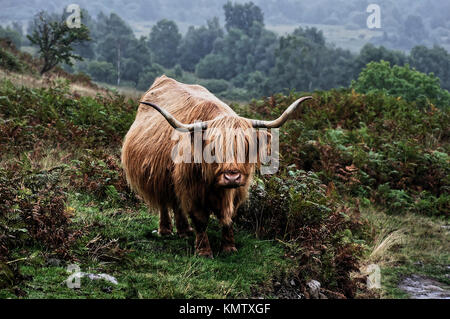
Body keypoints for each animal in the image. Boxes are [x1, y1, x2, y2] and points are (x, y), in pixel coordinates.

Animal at [121, 76, 312, 258]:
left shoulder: (237, 191)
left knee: (177, 203)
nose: (232, 177)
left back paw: (184, 231)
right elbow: (200, 219)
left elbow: (229, 218)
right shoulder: (192, 188)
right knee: (164, 201)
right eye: (213, 149)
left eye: (246, 146)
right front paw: (204, 251)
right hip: (157, 175)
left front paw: (229, 247)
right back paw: (166, 230)